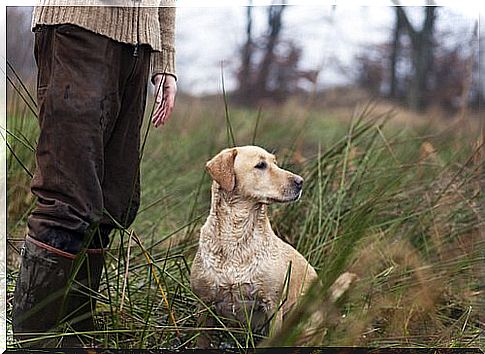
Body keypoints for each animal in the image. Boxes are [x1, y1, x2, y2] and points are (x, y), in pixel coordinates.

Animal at [191, 145, 320, 348]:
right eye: (261, 165)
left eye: (275, 162)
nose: (301, 182)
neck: (236, 235)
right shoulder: (204, 304)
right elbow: (202, 340)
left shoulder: (273, 305)